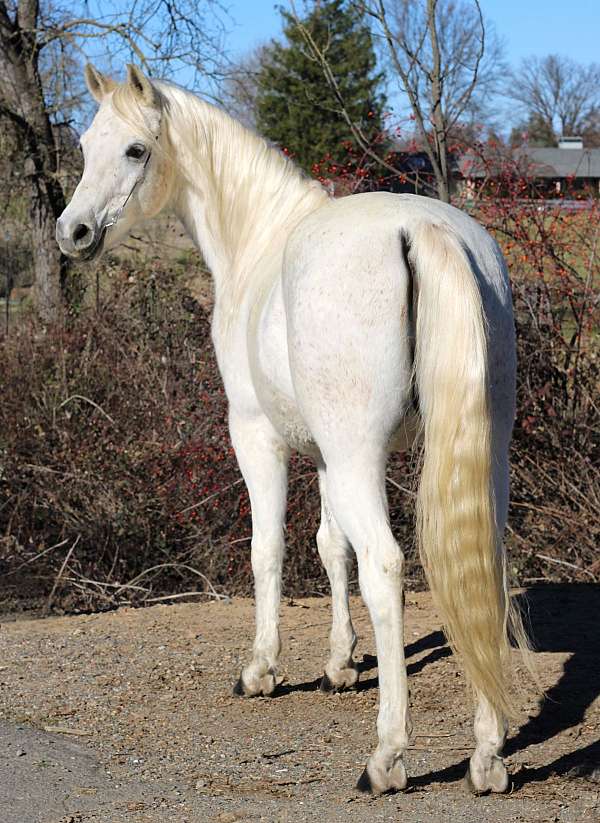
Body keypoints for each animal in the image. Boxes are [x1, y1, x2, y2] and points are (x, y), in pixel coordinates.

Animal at [56, 64, 524, 800]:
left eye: (134, 150)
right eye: (85, 145)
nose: (71, 232)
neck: (260, 241)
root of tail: (424, 228)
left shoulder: (260, 440)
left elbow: (270, 550)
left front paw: (262, 670)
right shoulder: (328, 457)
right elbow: (333, 549)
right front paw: (340, 665)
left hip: (360, 458)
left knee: (387, 567)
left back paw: (387, 758)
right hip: (480, 452)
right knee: (480, 570)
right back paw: (487, 757)